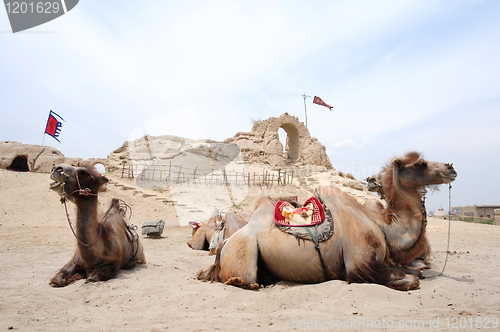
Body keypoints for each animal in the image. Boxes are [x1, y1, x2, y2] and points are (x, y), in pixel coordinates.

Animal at [199, 152, 458, 290]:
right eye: (421, 163)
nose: (451, 167)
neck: (382, 225)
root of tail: (222, 247)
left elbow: (416, 272)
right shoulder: (359, 266)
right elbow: (412, 279)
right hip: (242, 255)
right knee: (246, 279)